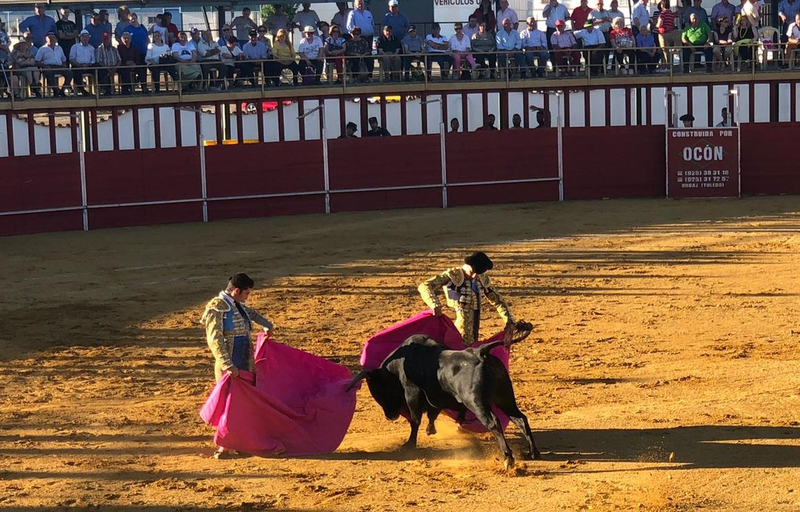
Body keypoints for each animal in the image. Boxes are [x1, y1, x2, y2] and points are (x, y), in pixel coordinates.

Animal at [346, 332, 540, 468]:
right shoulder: (436, 396)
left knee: (494, 422)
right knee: (520, 418)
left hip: (476, 402)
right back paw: (533, 452)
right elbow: (433, 412)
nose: (390, 416)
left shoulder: (412, 391)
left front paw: (409, 444)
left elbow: (415, 419)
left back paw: (508, 458)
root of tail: (480, 352)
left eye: (378, 391)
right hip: (504, 397)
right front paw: (430, 430)